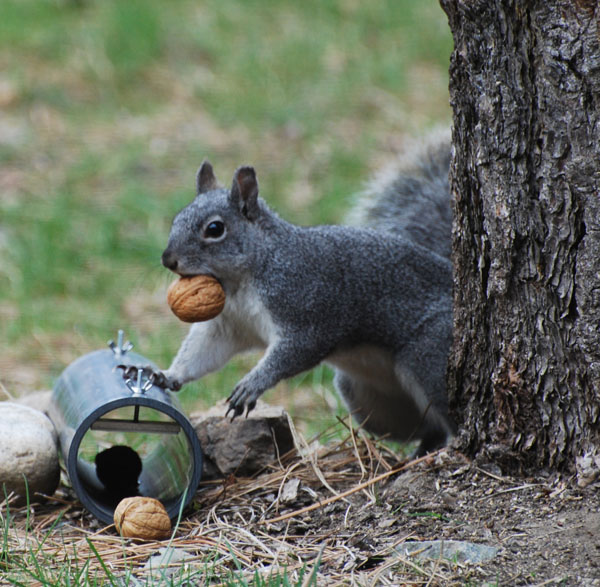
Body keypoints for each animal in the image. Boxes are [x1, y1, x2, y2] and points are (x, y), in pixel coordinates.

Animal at [157, 134, 452, 454]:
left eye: (214, 228)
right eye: (176, 219)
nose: (168, 259)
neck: (241, 282)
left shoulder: (305, 307)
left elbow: (296, 351)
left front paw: (252, 384)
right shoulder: (229, 325)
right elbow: (202, 352)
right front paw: (168, 375)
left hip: (429, 357)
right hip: (368, 400)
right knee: (428, 427)